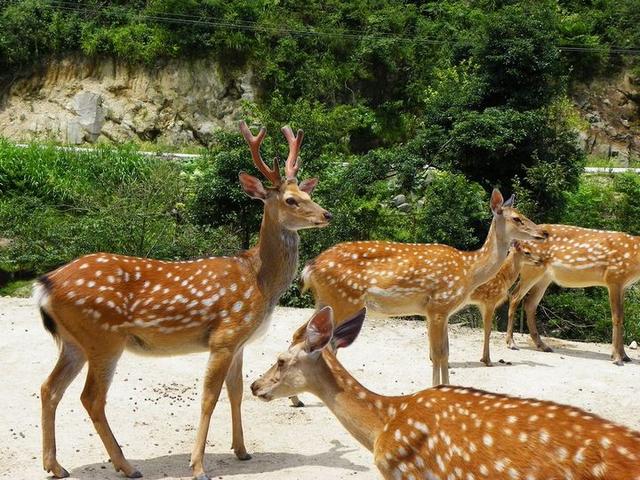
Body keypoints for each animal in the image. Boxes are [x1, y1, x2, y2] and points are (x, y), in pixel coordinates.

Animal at [34, 120, 332, 480]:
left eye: (309, 194)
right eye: (291, 200)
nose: (327, 214)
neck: (259, 280)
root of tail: (45, 285)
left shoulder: (239, 342)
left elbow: (236, 393)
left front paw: (242, 451)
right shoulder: (224, 336)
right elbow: (209, 398)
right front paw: (198, 466)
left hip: (73, 341)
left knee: (50, 388)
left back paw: (55, 465)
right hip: (103, 338)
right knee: (90, 397)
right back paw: (126, 466)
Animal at [468, 240, 544, 368]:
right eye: (527, 252)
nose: (540, 260)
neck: (502, 277)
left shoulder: (482, 304)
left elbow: (485, 329)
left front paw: (483, 359)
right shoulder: (490, 301)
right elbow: (488, 330)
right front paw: (488, 361)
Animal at [504, 225, 640, 364]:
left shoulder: (624, 286)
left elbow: (622, 317)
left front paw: (625, 356)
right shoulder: (614, 278)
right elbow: (616, 317)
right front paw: (616, 358)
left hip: (544, 277)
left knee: (530, 303)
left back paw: (543, 346)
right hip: (530, 269)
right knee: (514, 296)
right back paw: (511, 343)